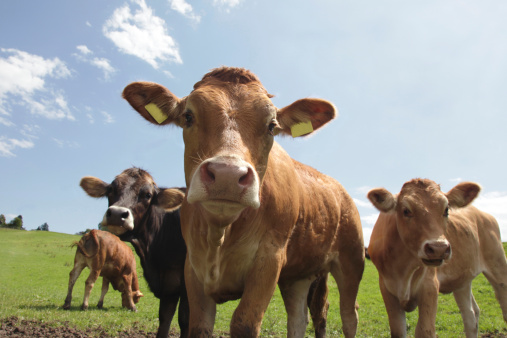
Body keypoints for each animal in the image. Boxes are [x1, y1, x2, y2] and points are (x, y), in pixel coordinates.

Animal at [122, 67, 366, 336]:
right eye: (188, 116)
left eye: (271, 126)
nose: (227, 175)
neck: (220, 234)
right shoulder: (192, 267)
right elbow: (198, 325)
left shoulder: (270, 259)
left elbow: (244, 323)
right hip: (299, 275)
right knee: (299, 318)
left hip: (352, 260)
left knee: (348, 315)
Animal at [368, 178, 507, 336]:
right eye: (406, 210)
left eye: (446, 210)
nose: (438, 248)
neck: (403, 269)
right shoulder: (387, 289)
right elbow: (398, 331)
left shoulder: (430, 286)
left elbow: (425, 330)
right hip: (462, 281)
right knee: (471, 315)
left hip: (498, 266)